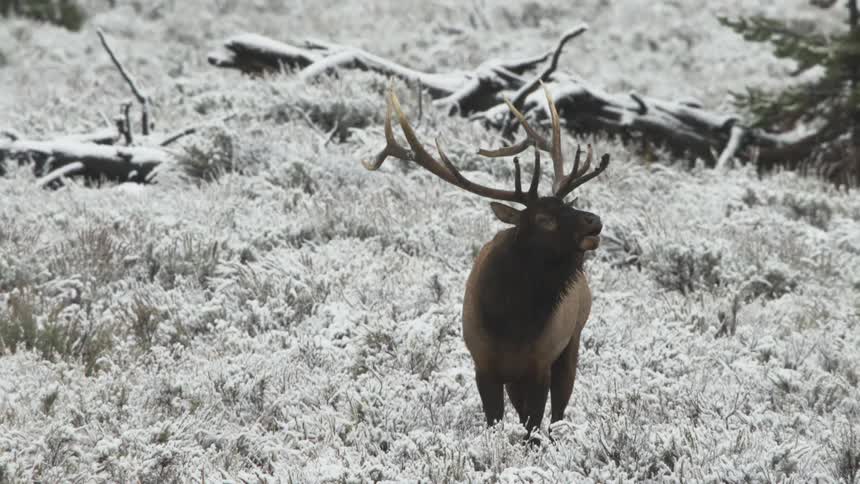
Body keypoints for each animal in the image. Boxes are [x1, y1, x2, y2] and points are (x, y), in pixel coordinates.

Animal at [362, 84, 609, 438]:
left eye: (568, 206)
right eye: (544, 218)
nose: (594, 221)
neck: (511, 323)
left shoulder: (539, 365)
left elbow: (533, 428)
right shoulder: (483, 365)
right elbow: (496, 419)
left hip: (572, 340)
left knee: (559, 410)